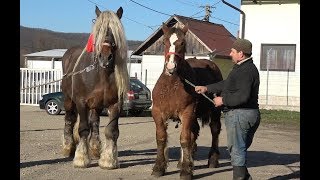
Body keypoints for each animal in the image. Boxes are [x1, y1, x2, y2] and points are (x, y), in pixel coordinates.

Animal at [61, 5, 129, 169]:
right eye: (99, 31)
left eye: (114, 32)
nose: (105, 58)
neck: (101, 74)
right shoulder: (81, 102)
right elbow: (83, 129)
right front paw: (81, 158)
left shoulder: (115, 104)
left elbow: (111, 131)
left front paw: (108, 160)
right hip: (69, 100)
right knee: (69, 119)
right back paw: (68, 147)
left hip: (96, 105)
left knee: (95, 122)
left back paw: (95, 149)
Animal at [151, 23, 222, 179]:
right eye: (164, 41)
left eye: (182, 43)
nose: (171, 67)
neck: (172, 84)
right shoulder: (157, 112)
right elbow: (161, 138)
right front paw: (159, 167)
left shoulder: (187, 112)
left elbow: (184, 139)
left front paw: (186, 171)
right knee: (194, 132)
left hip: (214, 111)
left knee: (214, 130)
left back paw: (212, 160)